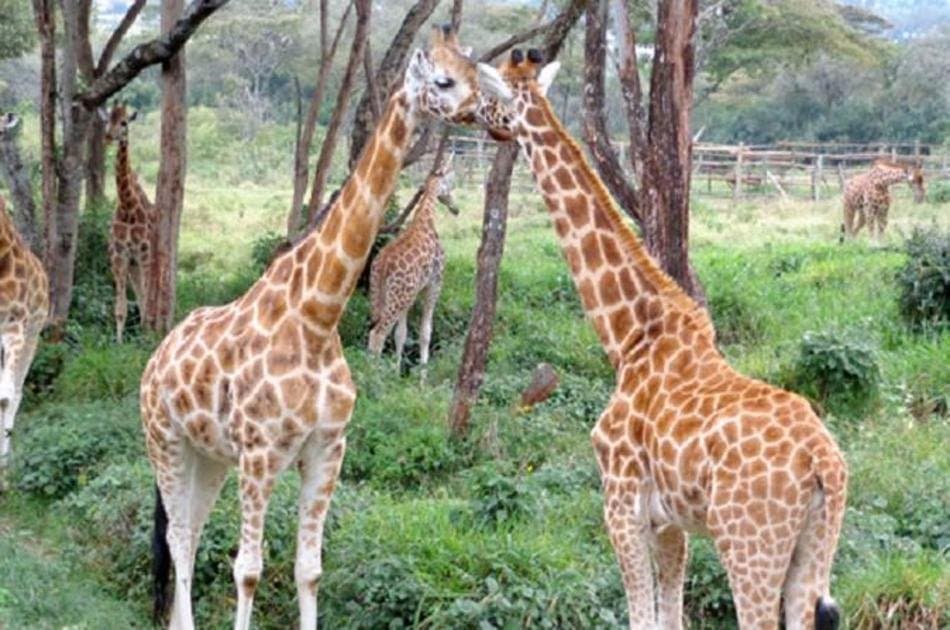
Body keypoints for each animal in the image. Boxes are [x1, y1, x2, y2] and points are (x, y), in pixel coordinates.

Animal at [367, 154, 456, 368]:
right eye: (451, 182)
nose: (455, 208)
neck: (426, 220)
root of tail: (384, 264)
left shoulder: (411, 294)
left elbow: (401, 335)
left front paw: (396, 369)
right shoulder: (434, 284)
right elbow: (425, 333)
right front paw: (423, 372)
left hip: (380, 293)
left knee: (373, 330)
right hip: (398, 297)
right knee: (379, 334)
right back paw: (373, 374)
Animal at [473, 49, 848, 630]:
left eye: (492, 94)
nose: (474, 116)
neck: (628, 338)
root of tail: (822, 462)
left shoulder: (620, 501)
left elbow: (640, 615)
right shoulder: (671, 521)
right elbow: (670, 615)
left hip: (750, 546)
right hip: (811, 552)